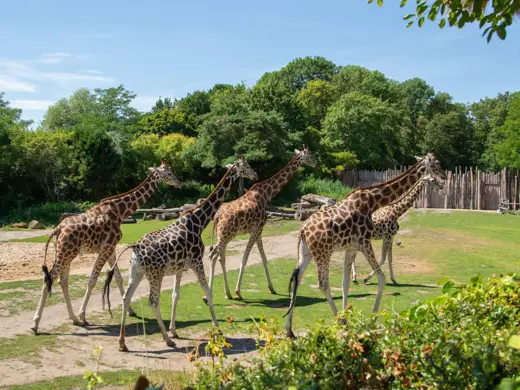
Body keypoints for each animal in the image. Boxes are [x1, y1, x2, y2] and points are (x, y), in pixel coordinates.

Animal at [31, 160, 181, 334]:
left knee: (63, 280)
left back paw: (73, 318)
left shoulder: (111, 248)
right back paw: (36, 324)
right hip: (65, 253)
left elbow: (118, 278)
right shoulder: (106, 247)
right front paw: (83, 315)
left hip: (66, 254)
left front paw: (131, 310)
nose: (178, 183)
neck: (121, 211)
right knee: (49, 278)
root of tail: (58, 229)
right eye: (169, 173)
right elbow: (92, 279)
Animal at [102, 156, 258, 354]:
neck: (200, 221)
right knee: (153, 301)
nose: (255, 175)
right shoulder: (197, 262)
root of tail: (135, 247)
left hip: (136, 272)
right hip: (156, 274)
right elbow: (208, 292)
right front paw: (218, 330)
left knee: (126, 297)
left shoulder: (179, 269)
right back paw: (167, 341)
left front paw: (174, 330)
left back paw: (123, 343)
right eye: (246, 166)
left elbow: (175, 295)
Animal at [205, 146, 318, 302]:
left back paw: (226, 293)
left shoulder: (258, 230)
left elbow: (264, 258)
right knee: (213, 256)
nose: (317, 164)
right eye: (310, 156)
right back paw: (213, 295)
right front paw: (238, 291)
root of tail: (216, 216)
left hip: (221, 236)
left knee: (220, 257)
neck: (267, 194)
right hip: (225, 236)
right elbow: (245, 258)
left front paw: (272, 288)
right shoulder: (257, 229)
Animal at [282, 152, 444, 338]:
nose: (443, 179)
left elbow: (345, 284)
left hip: (306, 253)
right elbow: (382, 277)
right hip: (323, 253)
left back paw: (290, 330)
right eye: (437, 164)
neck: (374, 201)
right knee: (322, 284)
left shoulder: (351, 248)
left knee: (297, 279)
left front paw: (349, 315)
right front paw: (372, 318)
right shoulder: (365, 242)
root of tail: (302, 231)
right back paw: (339, 320)